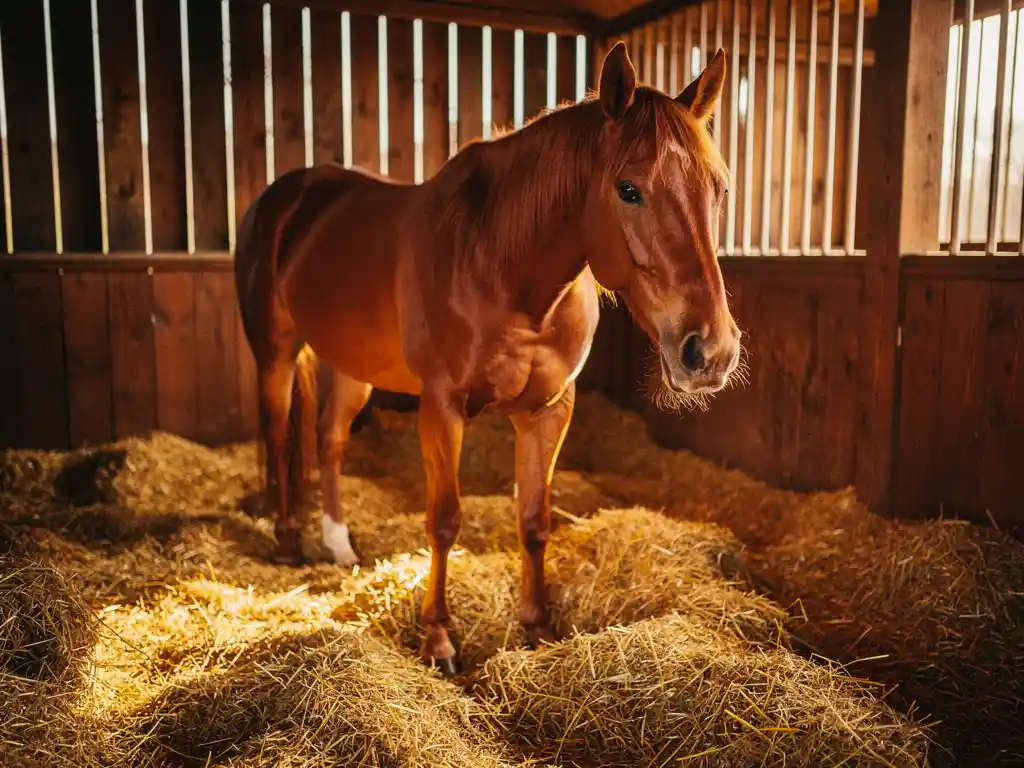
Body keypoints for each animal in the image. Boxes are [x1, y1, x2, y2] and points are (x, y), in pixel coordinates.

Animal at [234, 41, 741, 675]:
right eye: (629, 189)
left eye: (720, 189)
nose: (711, 351)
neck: (502, 265)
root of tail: (288, 196)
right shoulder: (442, 408)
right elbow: (444, 520)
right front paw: (438, 638)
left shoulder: (548, 410)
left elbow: (534, 520)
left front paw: (538, 626)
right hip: (276, 353)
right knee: (281, 436)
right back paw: (286, 541)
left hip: (353, 367)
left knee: (330, 439)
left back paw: (339, 544)